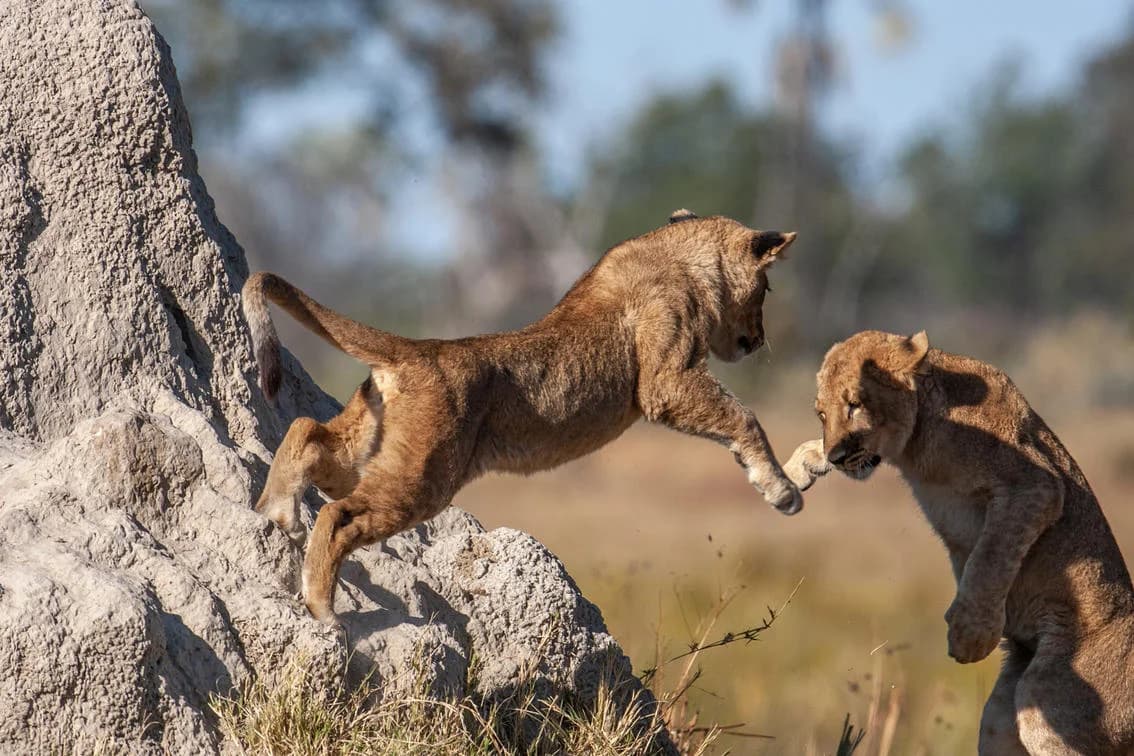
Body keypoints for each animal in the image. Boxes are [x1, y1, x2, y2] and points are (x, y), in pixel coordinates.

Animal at [242, 210, 803, 627]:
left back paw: (277, 512)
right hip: (423, 477)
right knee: (339, 515)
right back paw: (320, 605)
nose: (757, 340)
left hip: (369, 446)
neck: (675, 255)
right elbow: (743, 416)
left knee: (306, 432)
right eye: (767, 291)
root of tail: (416, 350)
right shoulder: (665, 382)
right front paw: (781, 490)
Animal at [783, 329, 1134, 755]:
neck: (915, 440)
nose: (836, 456)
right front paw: (794, 469)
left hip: (1050, 698)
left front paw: (971, 634)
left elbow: (990, 555)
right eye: (822, 414)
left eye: (855, 405)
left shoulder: (1035, 485)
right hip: (1000, 718)